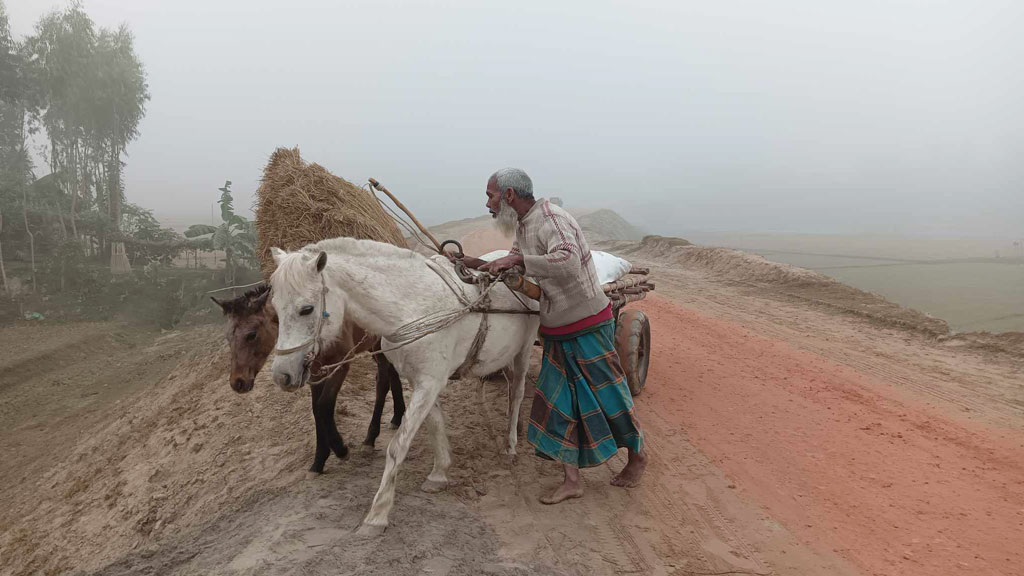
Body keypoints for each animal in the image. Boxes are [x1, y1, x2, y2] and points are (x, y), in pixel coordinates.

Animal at [211, 284, 403, 473]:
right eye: (228, 337)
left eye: (251, 334)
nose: (237, 382)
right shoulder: (314, 371)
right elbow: (316, 409)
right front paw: (319, 460)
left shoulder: (341, 363)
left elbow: (324, 405)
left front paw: (340, 449)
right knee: (392, 374)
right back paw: (397, 418)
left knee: (383, 381)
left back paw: (371, 437)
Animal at [272, 237, 540, 532]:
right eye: (274, 311)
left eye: (306, 309)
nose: (282, 375)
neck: (412, 308)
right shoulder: (420, 381)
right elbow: (435, 425)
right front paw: (439, 473)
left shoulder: (429, 383)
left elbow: (398, 446)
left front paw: (378, 513)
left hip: (524, 350)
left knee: (517, 392)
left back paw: (511, 444)